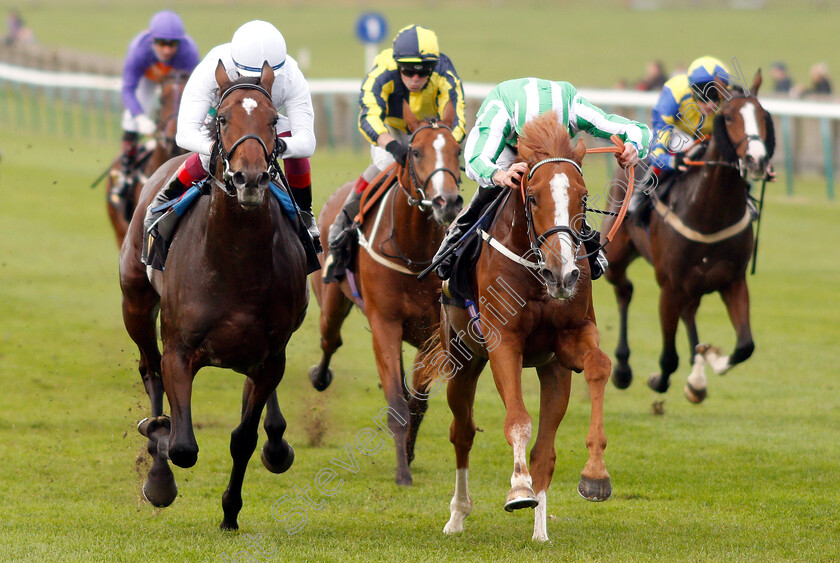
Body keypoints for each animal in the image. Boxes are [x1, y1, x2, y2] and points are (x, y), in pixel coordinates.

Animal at [116, 64, 304, 532]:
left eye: (273, 120)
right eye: (222, 118)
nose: (249, 178)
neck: (235, 262)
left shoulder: (270, 355)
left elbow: (244, 438)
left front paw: (230, 512)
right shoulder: (180, 350)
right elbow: (182, 445)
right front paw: (159, 475)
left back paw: (277, 443)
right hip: (135, 303)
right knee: (149, 368)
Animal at [308, 104, 462, 484]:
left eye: (458, 151)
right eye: (416, 151)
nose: (447, 201)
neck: (414, 250)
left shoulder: (432, 331)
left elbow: (416, 400)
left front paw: (407, 452)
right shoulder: (385, 324)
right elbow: (396, 403)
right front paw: (402, 472)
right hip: (331, 303)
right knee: (330, 340)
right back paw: (319, 376)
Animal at [426, 111, 612, 540]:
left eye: (583, 197)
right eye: (534, 196)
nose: (564, 273)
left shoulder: (570, 340)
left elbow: (599, 365)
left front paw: (595, 475)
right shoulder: (503, 343)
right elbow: (517, 420)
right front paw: (518, 489)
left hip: (553, 371)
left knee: (546, 450)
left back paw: (540, 531)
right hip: (462, 358)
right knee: (462, 432)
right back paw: (457, 515)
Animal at [604, 70, 776, 404]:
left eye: (762, 115)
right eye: (730, 117)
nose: (757, 159)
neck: (709, 210)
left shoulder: (733, 280)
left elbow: (745, 346)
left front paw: (709, 361)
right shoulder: (669, 285)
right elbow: (669, 358)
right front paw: (659, 379)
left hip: (693, 283)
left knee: (688, 312)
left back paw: (697, 374)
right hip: (617, 254)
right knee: (624, 290)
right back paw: (622, 368)